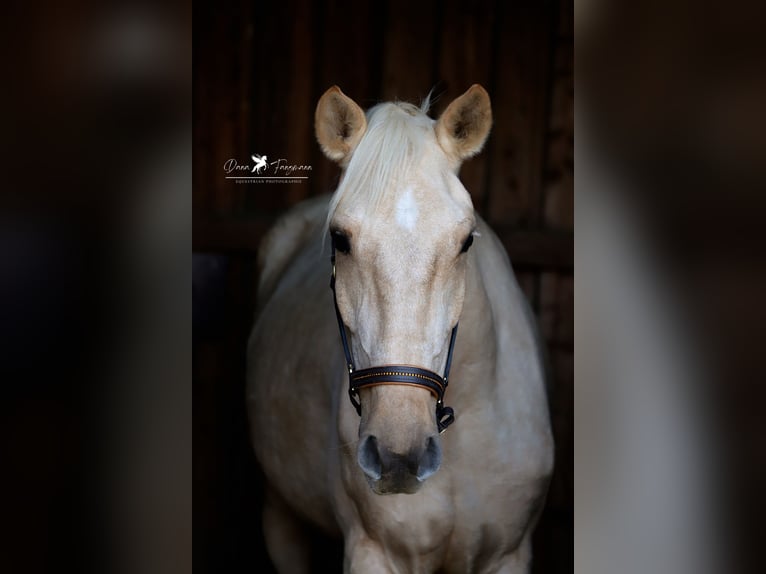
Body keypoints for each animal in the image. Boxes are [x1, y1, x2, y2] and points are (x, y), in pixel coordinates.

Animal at [249, 83, 556, 572]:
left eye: (465, 241)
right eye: (340, 239)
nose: (398, 456)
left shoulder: (507, 556)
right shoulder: (376, 553)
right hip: (281, 516)